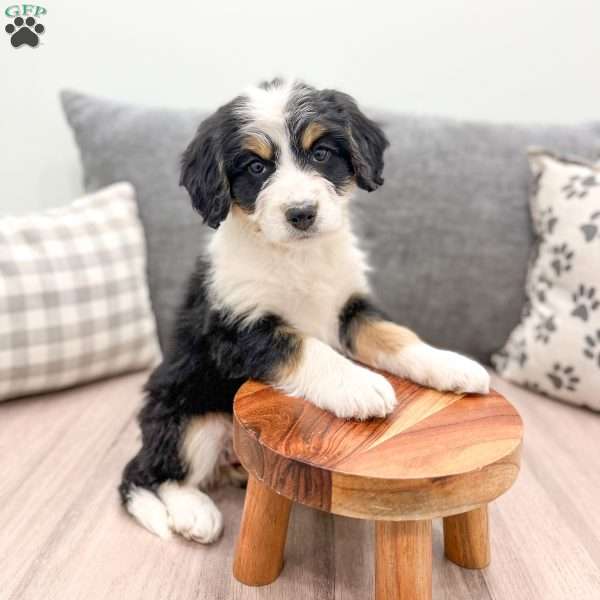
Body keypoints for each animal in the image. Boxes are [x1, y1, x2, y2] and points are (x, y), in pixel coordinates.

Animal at [119, 78, 490, 544]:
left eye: (321, 154)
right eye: (256, 168)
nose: (301, 214)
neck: (297, 256)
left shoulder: (350, 306)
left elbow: (395, 335)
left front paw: (450, 364)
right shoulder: (237, 328)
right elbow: (308, 347)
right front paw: (358, 385)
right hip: (189, 409)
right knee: (153, 472)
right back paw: (193, 512)